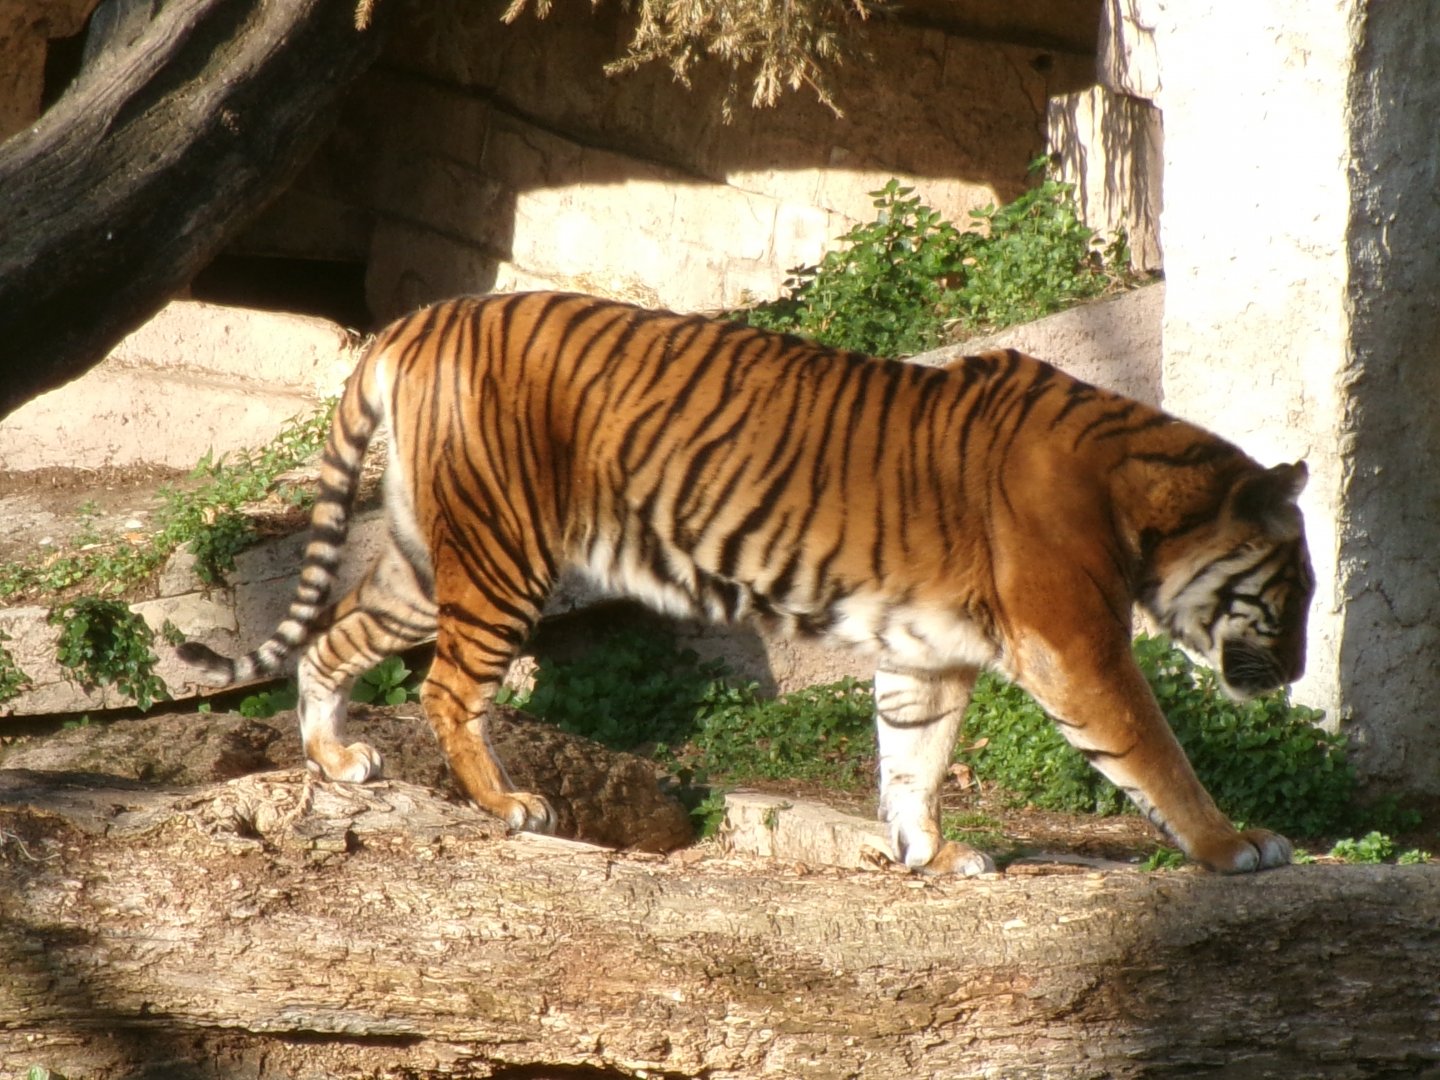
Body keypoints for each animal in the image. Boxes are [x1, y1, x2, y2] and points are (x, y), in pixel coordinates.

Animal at [179, 290, 1315, 875]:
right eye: (1296, 588)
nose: (1303, 670)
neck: (1145, 503)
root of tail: (421, 318)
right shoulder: (1074, 643)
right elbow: (1154, 751)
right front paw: (1237, 844)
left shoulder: (931, 653)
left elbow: (914, 758)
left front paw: (930, 855)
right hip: (503, 557)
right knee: (446, 688)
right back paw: (509, 805)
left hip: (429, 561)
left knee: (335, 640)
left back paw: (335, 759)